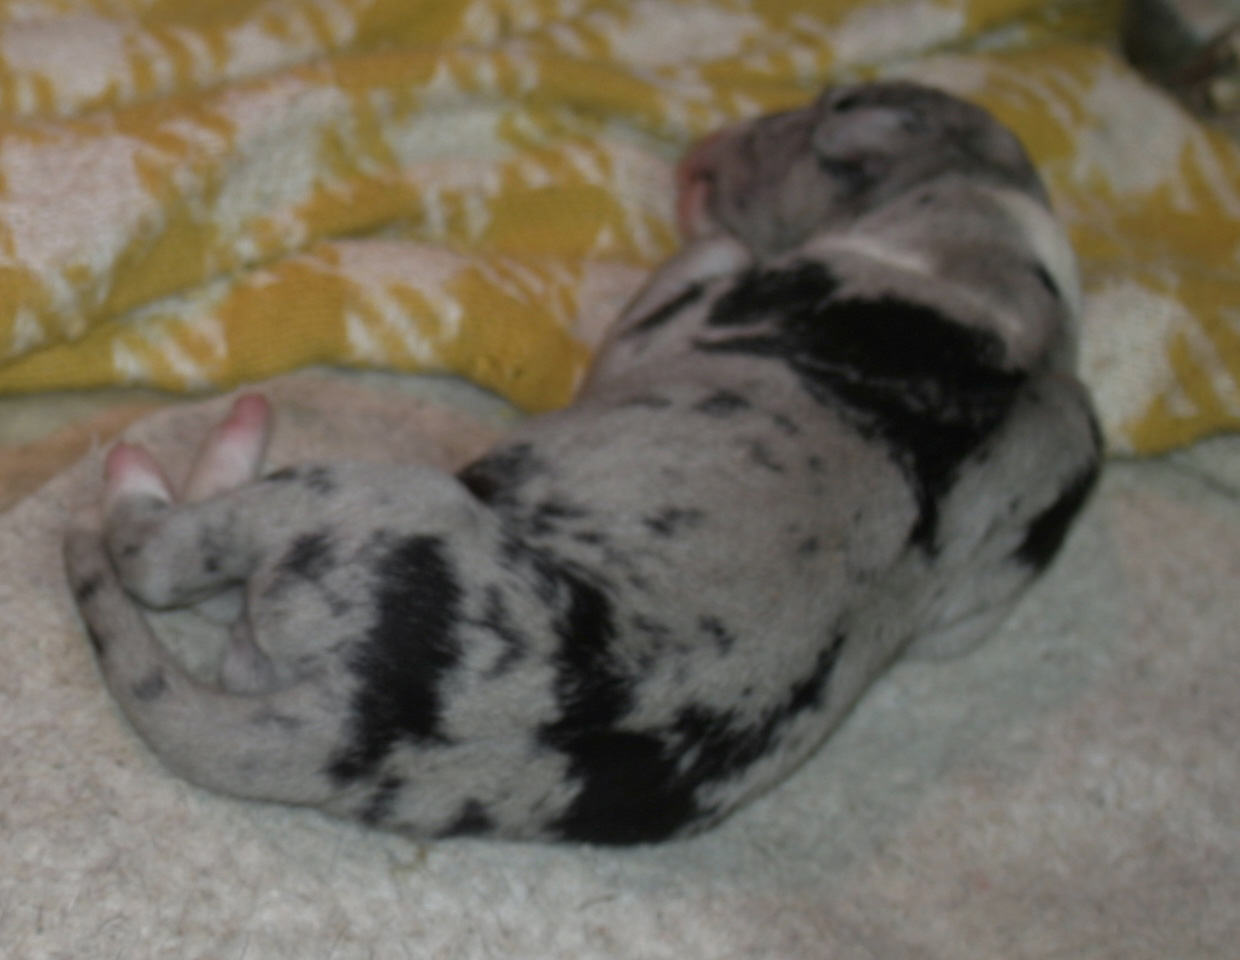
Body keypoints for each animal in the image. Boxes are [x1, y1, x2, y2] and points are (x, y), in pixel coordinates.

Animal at [64, 82, 1101, 845]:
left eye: (807, 123)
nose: (701, 150)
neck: (999, 275)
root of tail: (358, 721)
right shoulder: (1014, 542)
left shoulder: (668, 323)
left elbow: (694, 269)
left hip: (363, 495)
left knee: (161, 556)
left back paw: (172, 460)